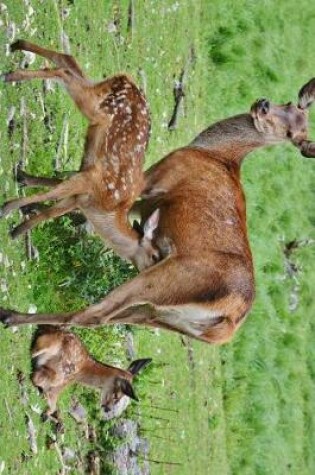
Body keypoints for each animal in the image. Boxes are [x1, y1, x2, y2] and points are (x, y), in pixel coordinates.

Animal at [0, 40, 160, 272]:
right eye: (156, 256)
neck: (104, 210)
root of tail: (128, 81)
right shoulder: (90, 179)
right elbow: (52, 193)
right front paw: (8, 207)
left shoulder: (79, 197)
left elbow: (51, 211)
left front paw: (17, 230)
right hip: (96, 107)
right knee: (66, 70)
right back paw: (12, 72)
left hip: (98, 93)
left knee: (69, 60)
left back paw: (16, 47)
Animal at [1, 77, 314, 342]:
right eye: (288, 103)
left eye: (291, 133)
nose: (262, 104)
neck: (214, 152)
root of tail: (228, 323)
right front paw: (27, 184)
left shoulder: (156, 179)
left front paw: (24, 194)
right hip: (162, 316)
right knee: (108, 318)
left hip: (162, 280)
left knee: (95, 313)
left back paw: (11, 316)